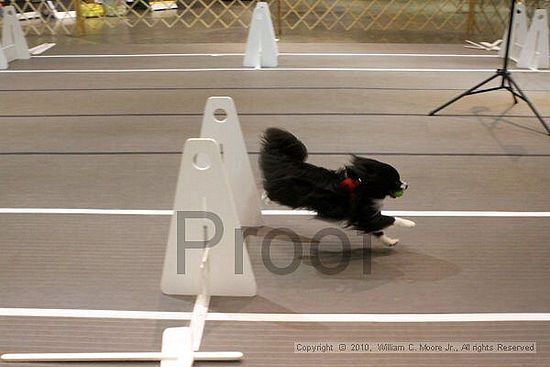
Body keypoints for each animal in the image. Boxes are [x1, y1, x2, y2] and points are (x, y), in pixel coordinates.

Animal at [260, 129, 416, 247]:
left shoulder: (366, 218)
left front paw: (390, 242)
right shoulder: (366, 214)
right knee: (270, 190)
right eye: (396, 181)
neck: (364, 185)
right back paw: (265, 197)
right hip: (290, 196)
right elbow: (390, 219)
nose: (407, 185)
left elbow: (378, 231)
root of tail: (289, 164)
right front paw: (410, 223)